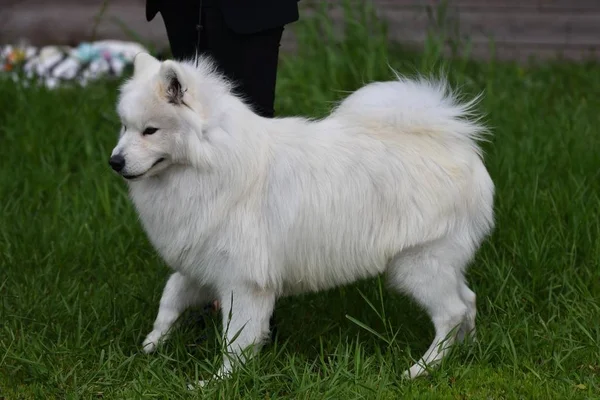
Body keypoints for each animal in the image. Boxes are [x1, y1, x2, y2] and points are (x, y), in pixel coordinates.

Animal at [110, 52, 494, 382]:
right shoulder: (203, 262)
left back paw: (421, 368)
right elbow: (170, 296)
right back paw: (467, 352)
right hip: (439, 263)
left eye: (150, 131)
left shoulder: (243, 280)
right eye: (124, 128)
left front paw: (218, 381)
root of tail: (455, 143)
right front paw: (153, 341)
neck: (212, 162)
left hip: (417, 264)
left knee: (451, 312)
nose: (115, 161)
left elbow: (236, 340)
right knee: (468, 301)